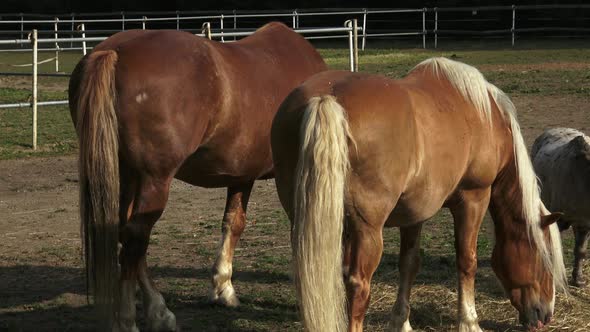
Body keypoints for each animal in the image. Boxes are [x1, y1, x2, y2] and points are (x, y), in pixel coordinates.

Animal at [69, 22, 328, 330]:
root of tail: (114, 51)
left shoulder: (241, 174)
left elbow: (233, 223)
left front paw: (222, 288)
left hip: (128, 175)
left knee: (125, 235)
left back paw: (159, 311)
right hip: (154, 180)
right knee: (135, 239)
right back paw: (128, 320)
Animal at [272, 57, 568, 332]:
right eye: (545, 258)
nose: (546, 314)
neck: (486, 117)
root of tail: (327, 98)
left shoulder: (414, 212)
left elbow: (409, 263)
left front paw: (401, 321)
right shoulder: (474, 198)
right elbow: (467, 260)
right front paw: (469, 322)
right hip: (367, 230)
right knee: (358, 285)